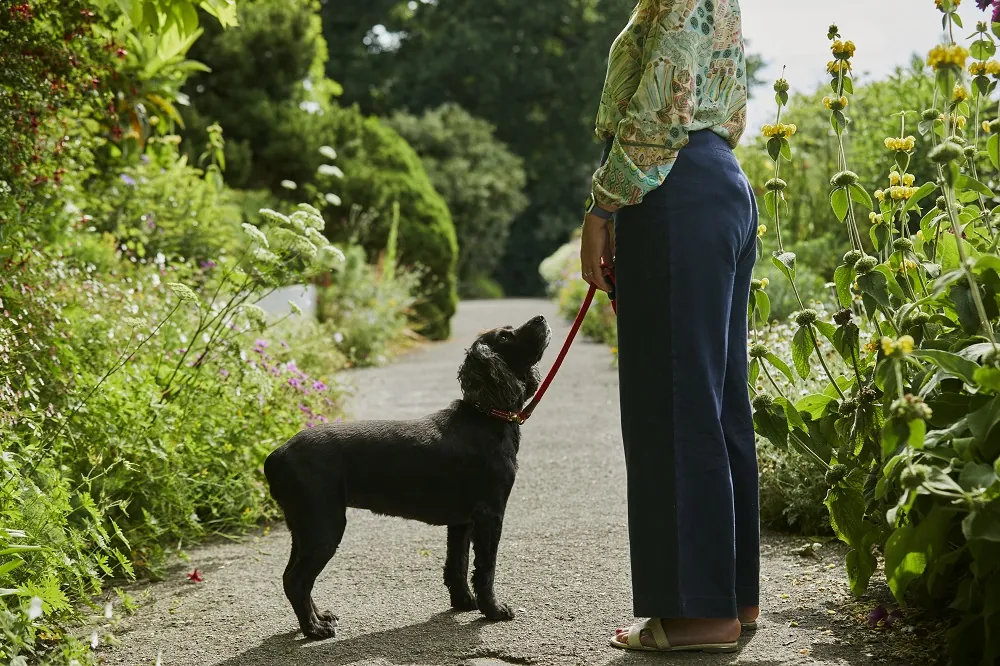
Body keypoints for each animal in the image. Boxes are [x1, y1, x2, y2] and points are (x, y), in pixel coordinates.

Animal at [262, 316, 552, 640]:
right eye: (504, 336)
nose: (540, 318)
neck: (486, 416)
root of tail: (277, 455)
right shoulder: (490, 513)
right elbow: (486, 568)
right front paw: (493, 610)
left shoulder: (462, 521)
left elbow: (458, 563)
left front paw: (464, 602)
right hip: (324, 526)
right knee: (297, 579)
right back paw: (314, 629)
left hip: (304, 528)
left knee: (292, 576)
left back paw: (319, 617)